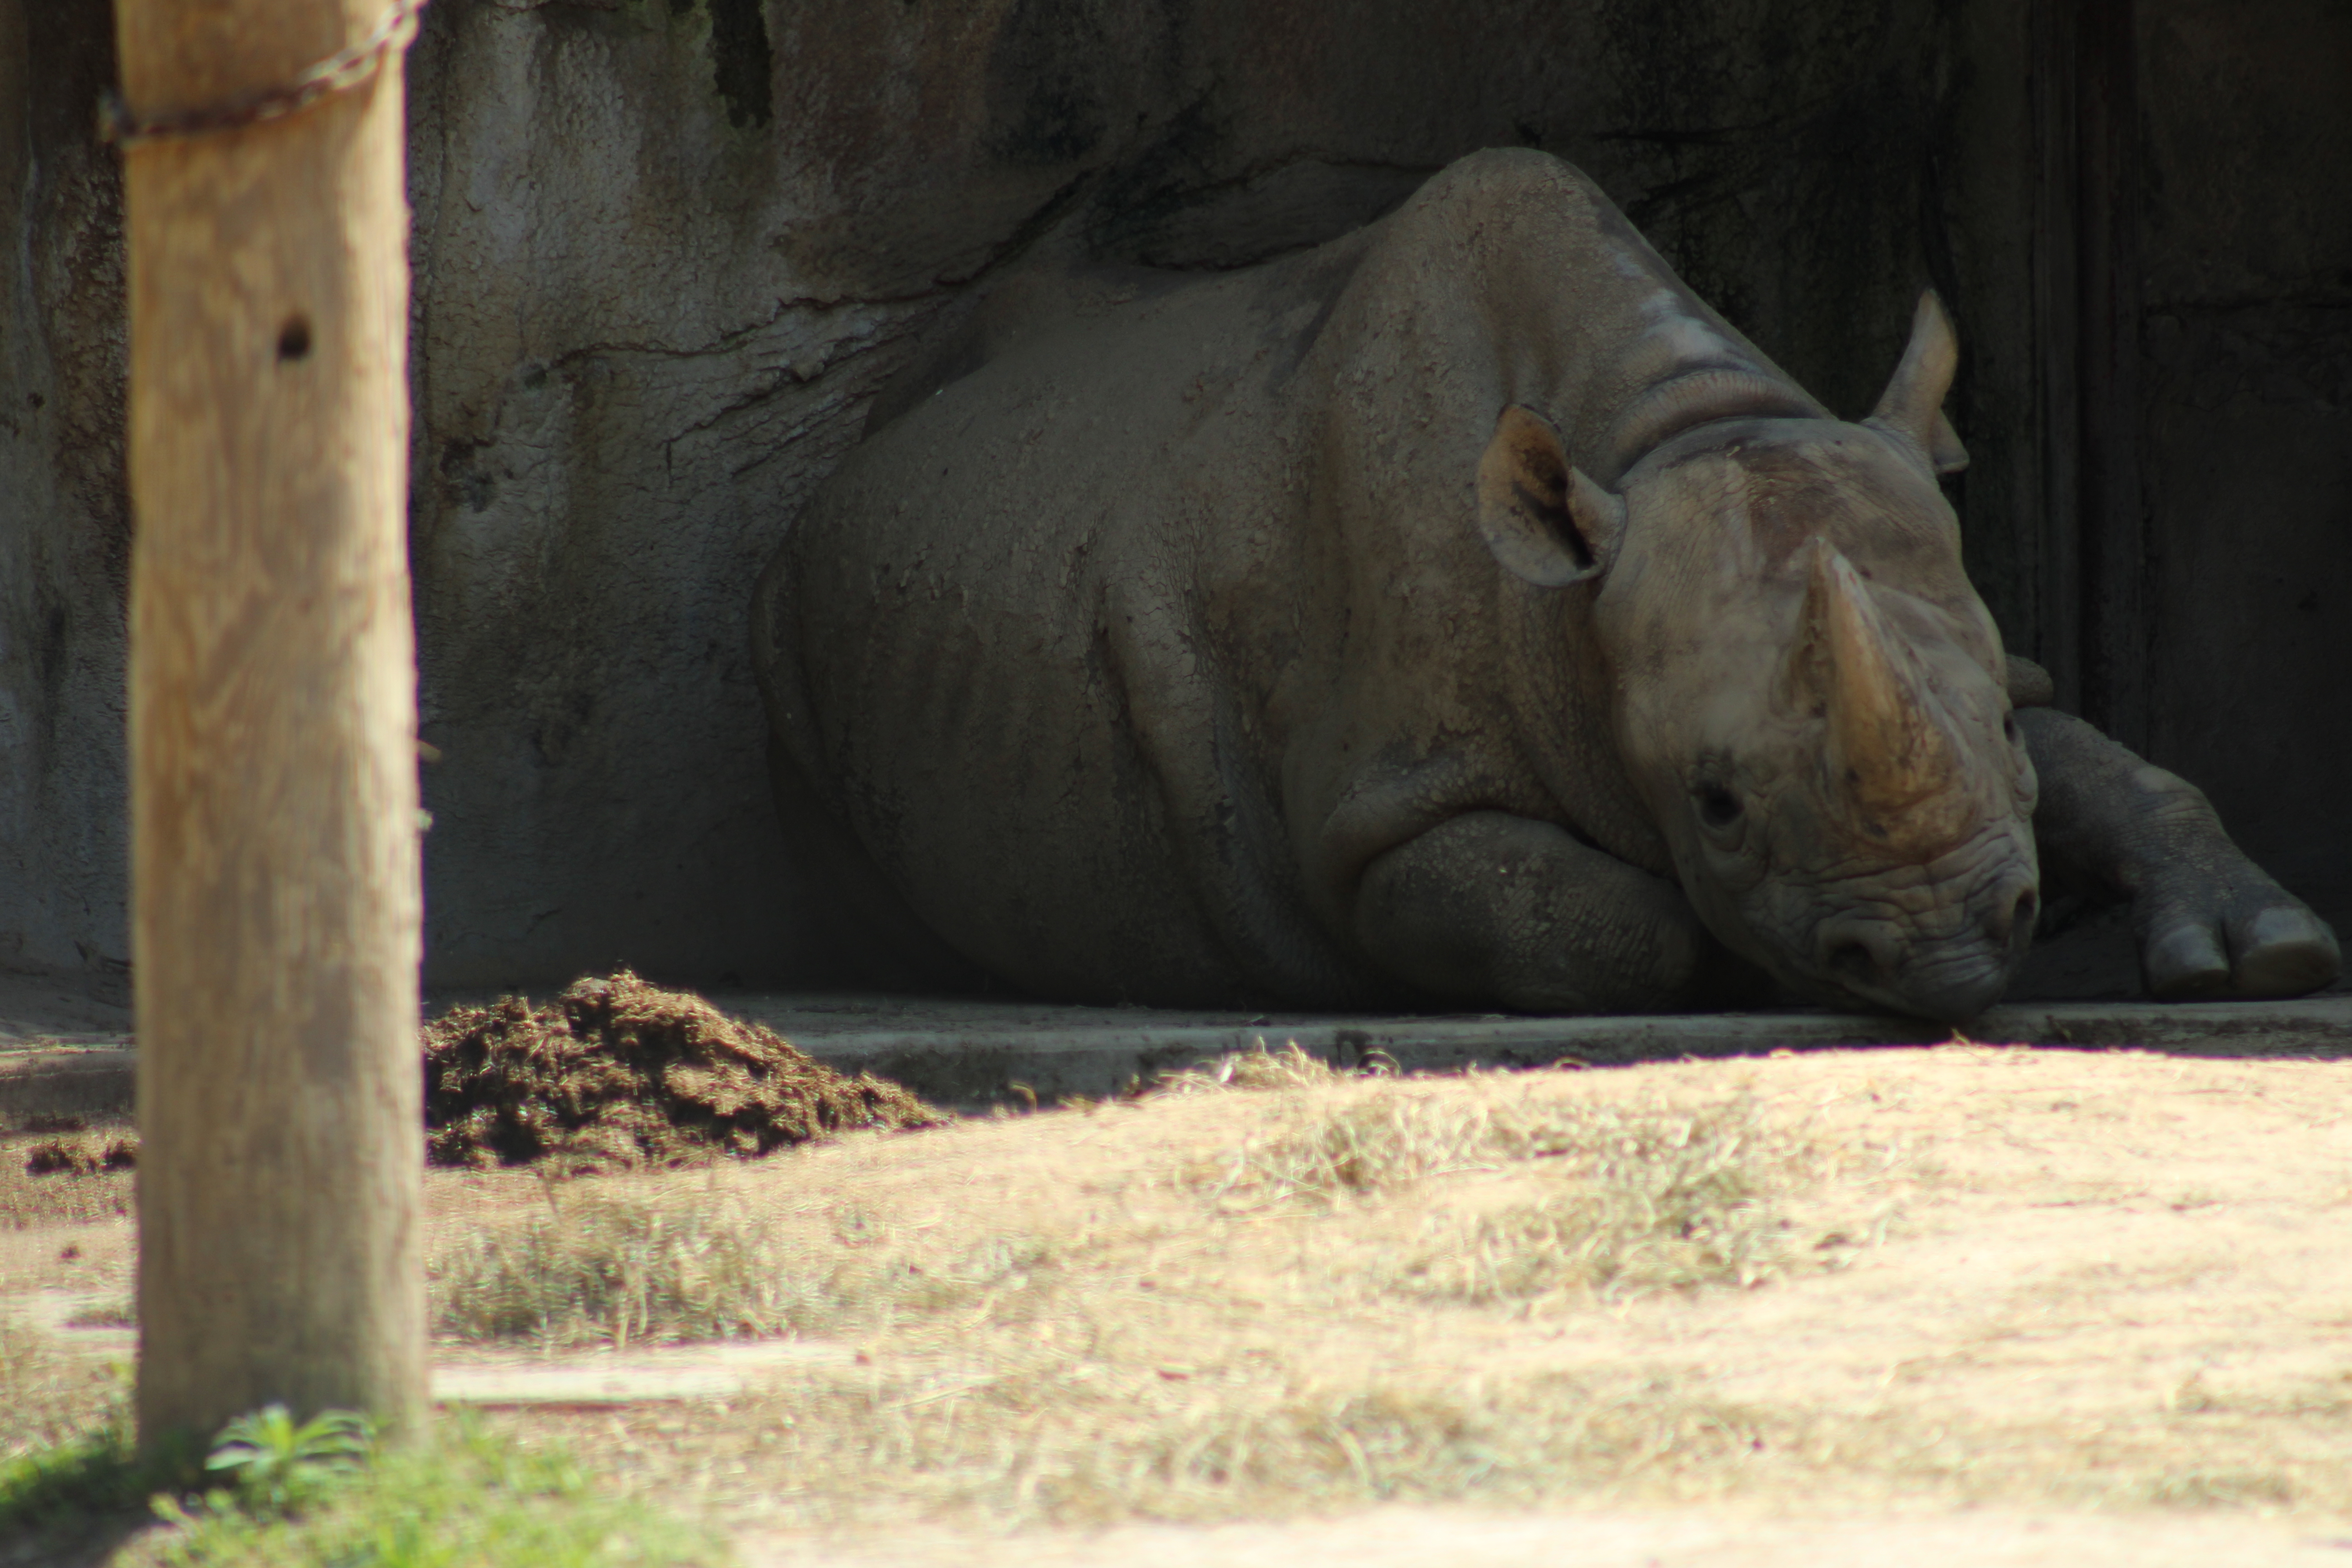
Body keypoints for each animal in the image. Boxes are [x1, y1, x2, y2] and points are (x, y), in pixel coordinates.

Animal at [753, 149, 2339, 1022]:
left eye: (2000, 736)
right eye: (1715, 804)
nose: (1947, 961)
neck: (1671, 438)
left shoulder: (1967, 633)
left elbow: (2113, 761)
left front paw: (2267, 955)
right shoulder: (1377, 822)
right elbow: (1611, 924)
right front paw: (1726, 964)